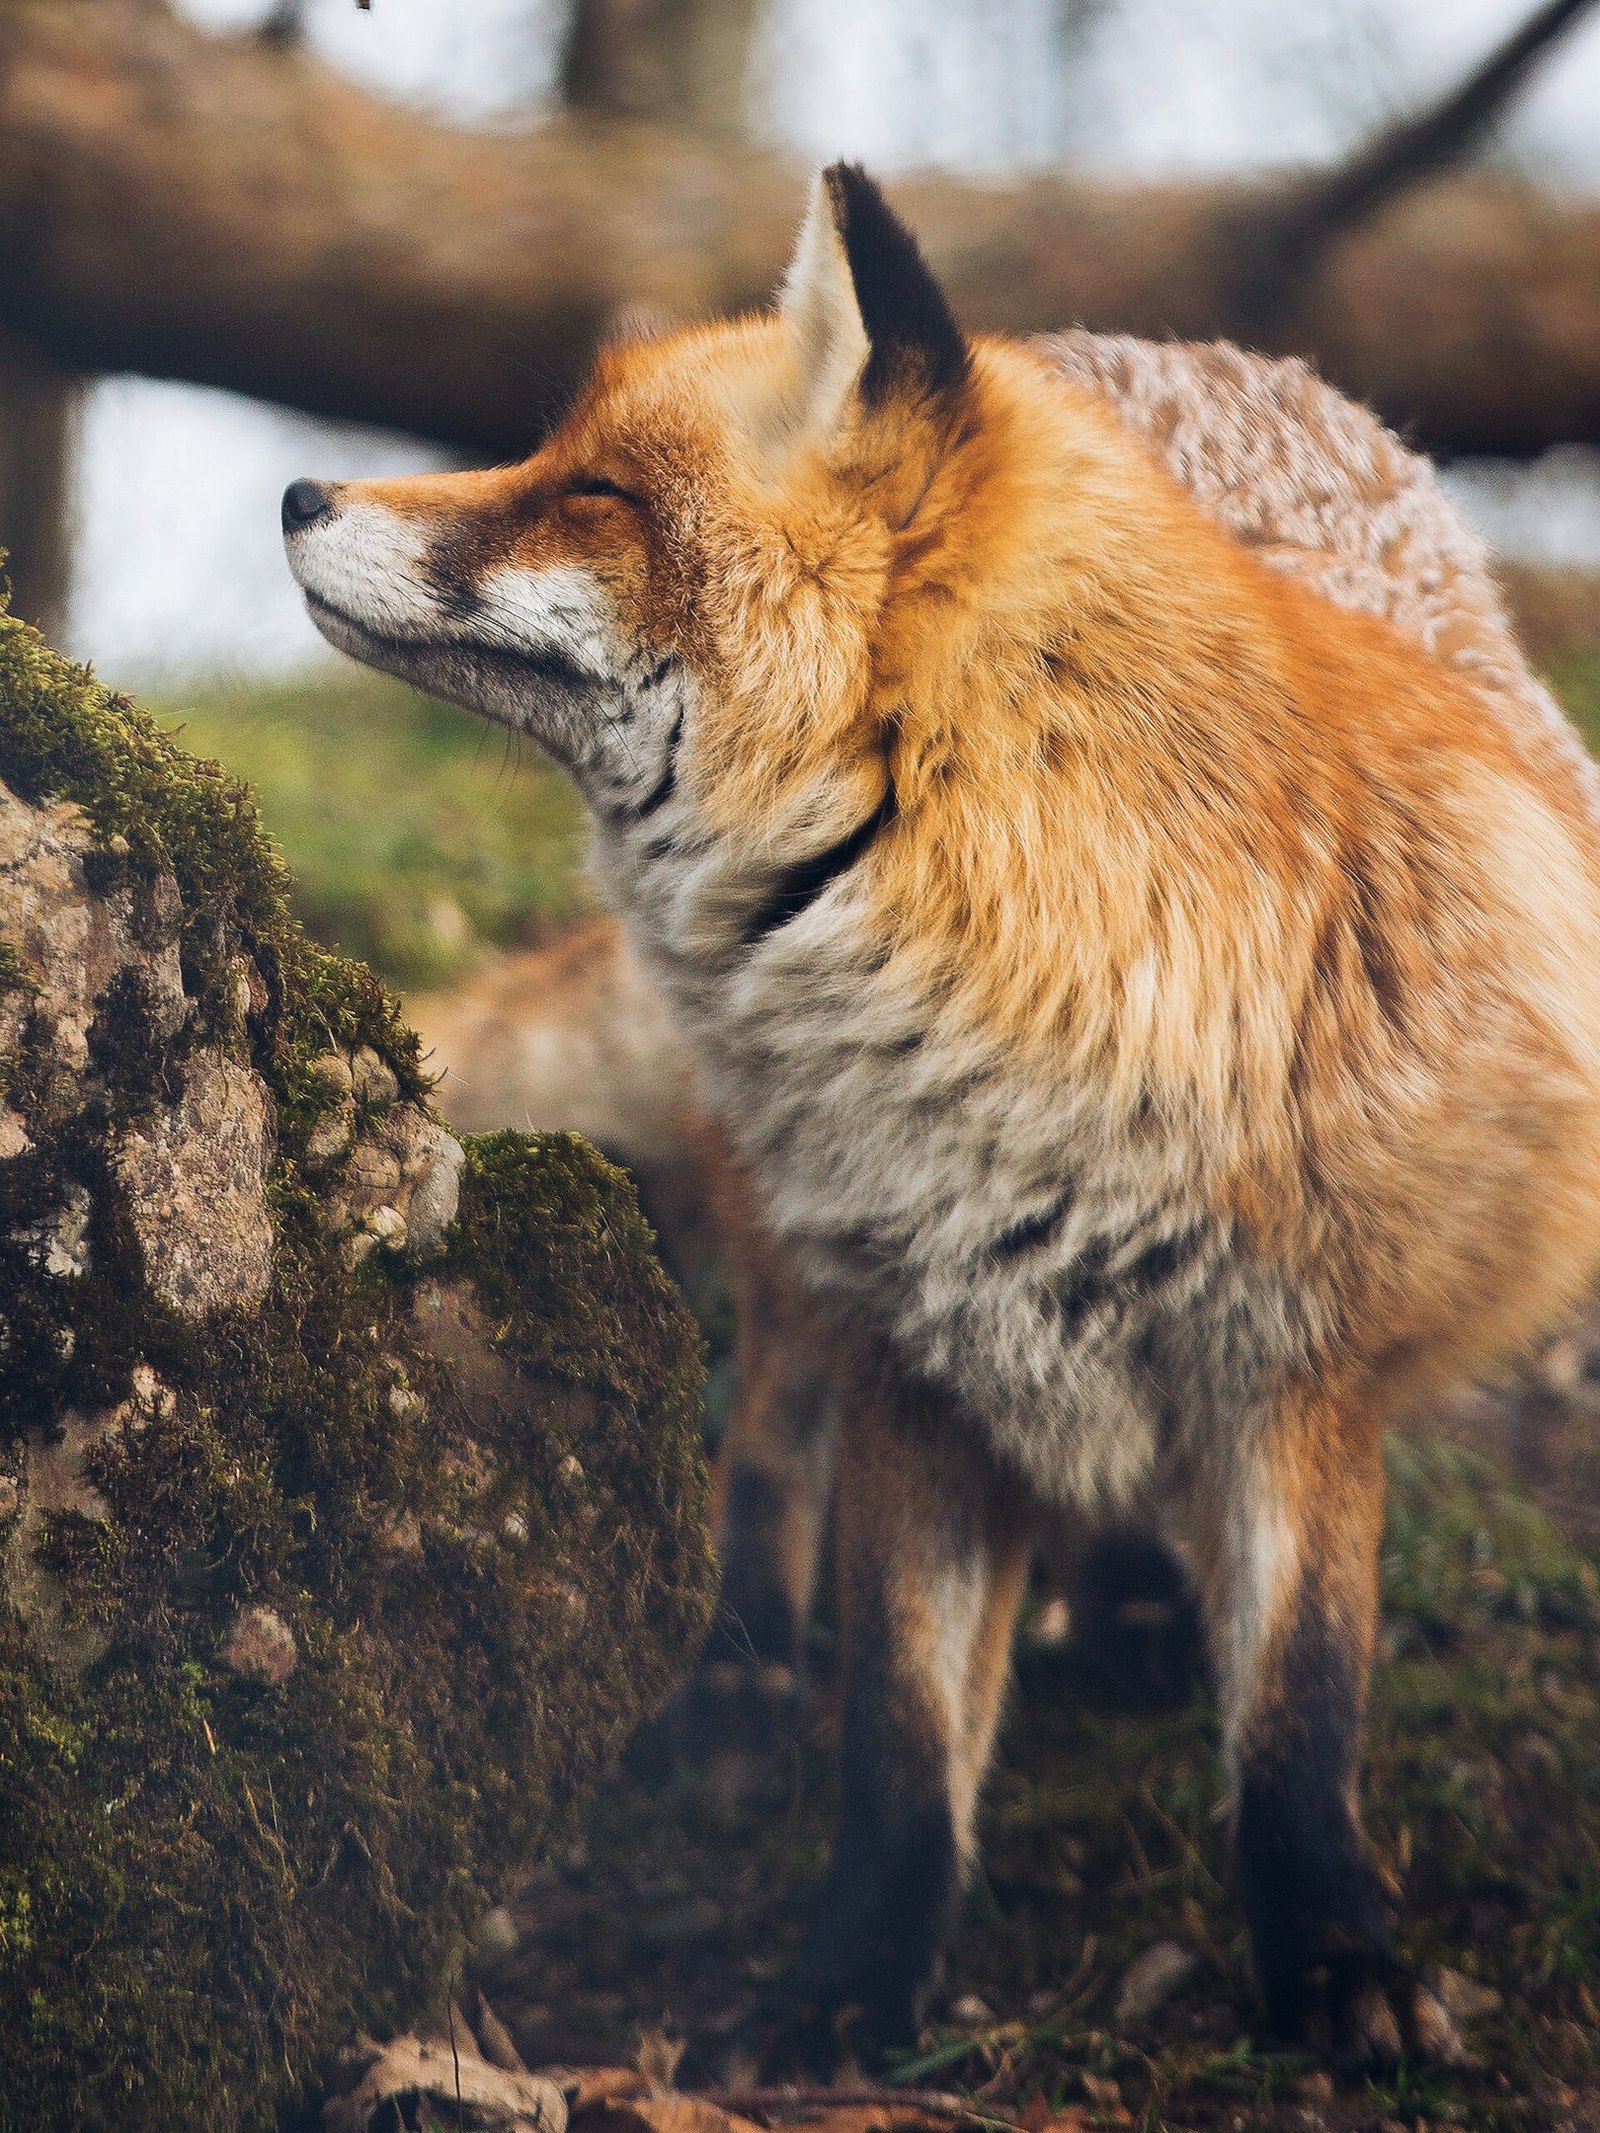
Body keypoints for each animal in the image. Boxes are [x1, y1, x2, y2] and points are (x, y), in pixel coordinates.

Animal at [281, 166, 1600, 2064]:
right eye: (552, 455)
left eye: (595, 496)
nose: (299, 490)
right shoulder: (912, 1341)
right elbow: (897, 1745)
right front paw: (844, 1994)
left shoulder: (1298, 1366)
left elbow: (1301, 1717)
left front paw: (1333, 1960)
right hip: (791, 1247)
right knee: (767, 1422)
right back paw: (743, 1666)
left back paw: (1125, 1601)